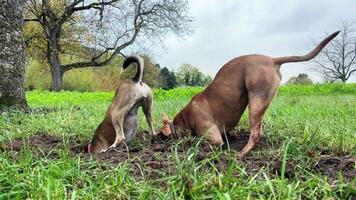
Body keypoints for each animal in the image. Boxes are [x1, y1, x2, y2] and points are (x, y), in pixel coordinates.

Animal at [160, 31, 340, 159]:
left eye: (162, 136)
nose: (159, 142)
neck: (185, 118)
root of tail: (272, 60)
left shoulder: (213, 137)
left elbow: (201, 140)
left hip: (255, 102)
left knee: (255, 134)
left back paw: (241, 154)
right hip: (261, 105)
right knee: (259, 130)